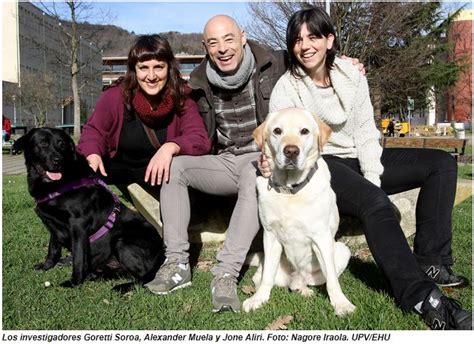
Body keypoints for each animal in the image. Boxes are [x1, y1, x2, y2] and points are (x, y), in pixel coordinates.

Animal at [14, 128, 165, 288]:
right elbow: (53, 248)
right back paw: (95, 275)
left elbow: (78, 256)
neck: (57, 185)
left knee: (144, 278)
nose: (58, 161)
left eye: (62, 145)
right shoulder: (53, 224)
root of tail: (161, 255)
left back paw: (121, 287)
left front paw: (74, 282)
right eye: (42, 143)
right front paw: (47, 266)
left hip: (122, 242)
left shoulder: (78, 224)